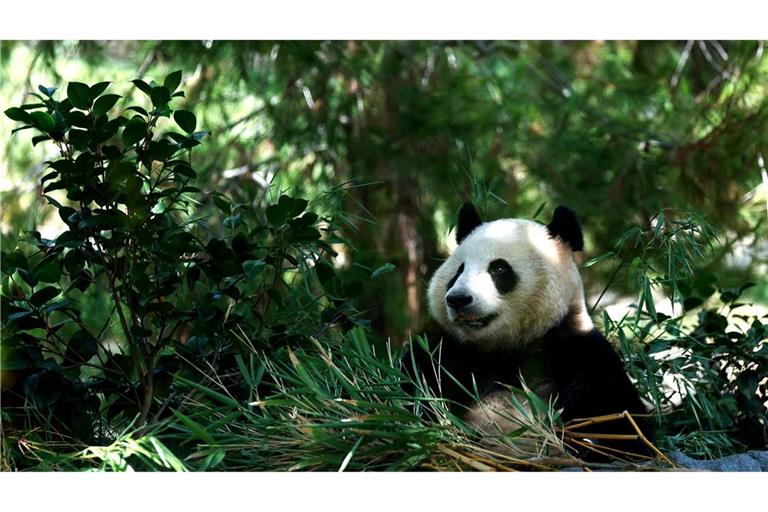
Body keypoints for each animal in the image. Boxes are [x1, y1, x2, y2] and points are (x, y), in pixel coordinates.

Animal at [414, 202, 656, 458]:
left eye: (499, 268)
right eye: (458, 271)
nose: (458, 299)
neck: (507, 347)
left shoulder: (582, 353)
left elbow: (624, 426)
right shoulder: (445, 351)